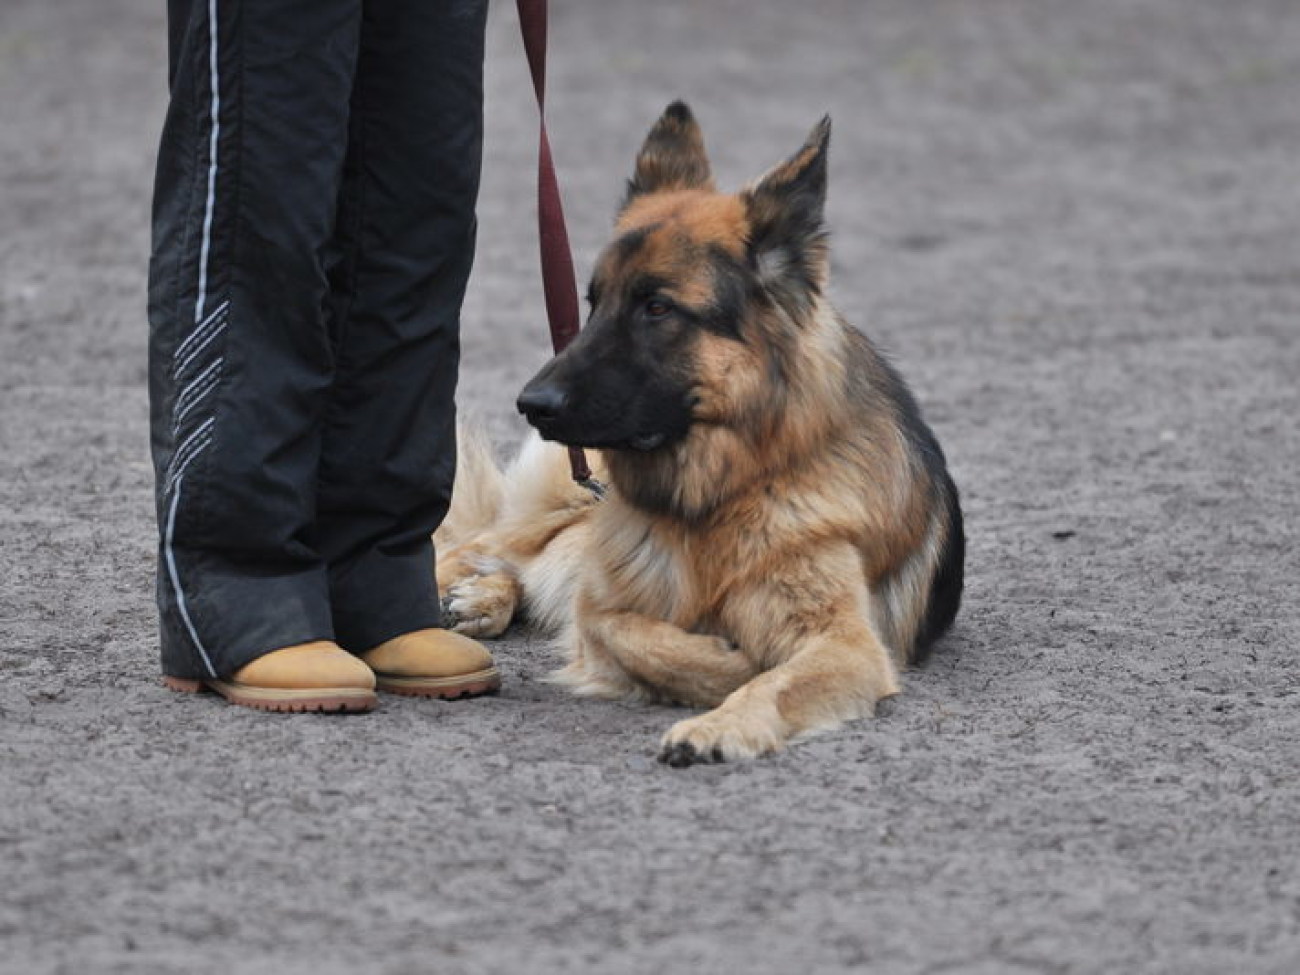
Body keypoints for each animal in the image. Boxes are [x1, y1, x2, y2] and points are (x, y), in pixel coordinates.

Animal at [441, 103, 961, 769]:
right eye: (594, 302)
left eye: (657, 308)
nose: (531, 404)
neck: (724, 497)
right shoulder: (601, 604)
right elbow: (630, 631)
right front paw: (725, 666)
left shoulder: (847, 644)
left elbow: (776, 679)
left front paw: (720, 722)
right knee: (470, 547)